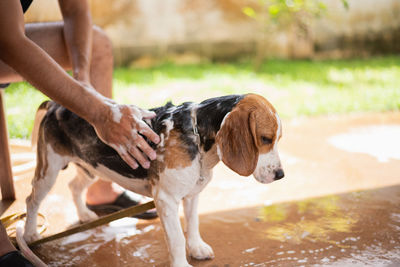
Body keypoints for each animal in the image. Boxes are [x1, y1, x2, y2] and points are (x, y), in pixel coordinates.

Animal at [24, 93, 284, 266]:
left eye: (277, 139)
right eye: (265, 138)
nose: (281, 175)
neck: (197, 136)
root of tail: (55, 106)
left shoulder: (191, 194)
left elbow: (193, 225)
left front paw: (197, 248)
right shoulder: (167, 200)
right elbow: (177, 239)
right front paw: (181, 263)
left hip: (91, 167)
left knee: (74, 186)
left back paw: (85, 215)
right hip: (49, 170)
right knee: (32, 200)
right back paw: (29, 235)